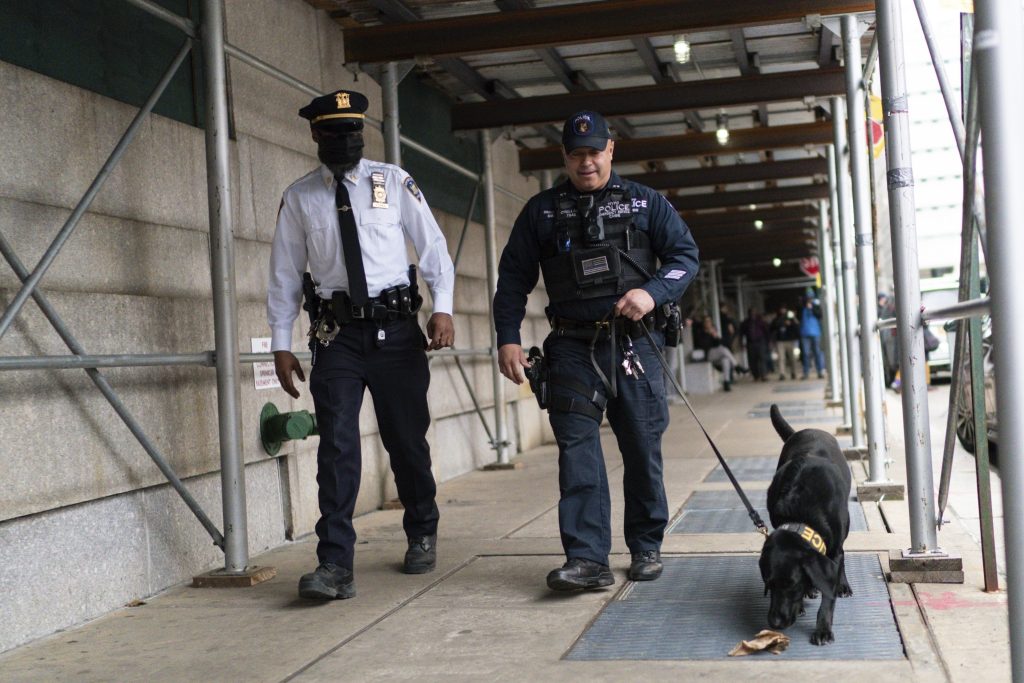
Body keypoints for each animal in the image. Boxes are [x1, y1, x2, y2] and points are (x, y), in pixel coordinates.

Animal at [757, 405, 851, 647]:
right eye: (769, 584)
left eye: (792, 584)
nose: (774, 623)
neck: (801, 516)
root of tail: (806, 430)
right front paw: (803, 600)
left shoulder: (833, 552)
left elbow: (829, 595)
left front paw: (823, 629)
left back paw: (842, 586)